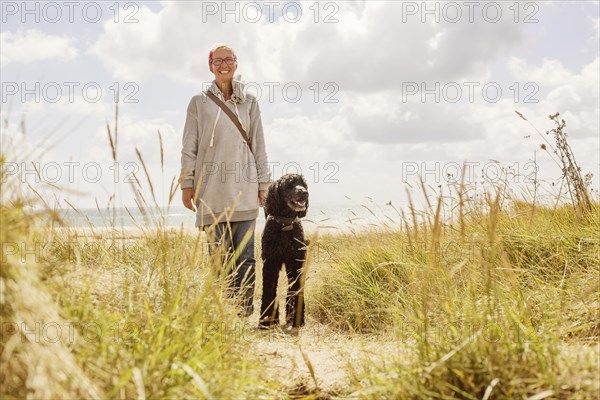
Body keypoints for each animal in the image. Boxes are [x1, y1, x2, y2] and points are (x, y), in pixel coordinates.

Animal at [258, 174, 310, 328]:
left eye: (303, 184)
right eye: (289, 184)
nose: (304, 193)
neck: (285, 225)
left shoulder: (295, 262)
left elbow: (296, 290)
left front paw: (297, 319)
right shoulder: (270, 263)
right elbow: (268, 291)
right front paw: (266, 320)